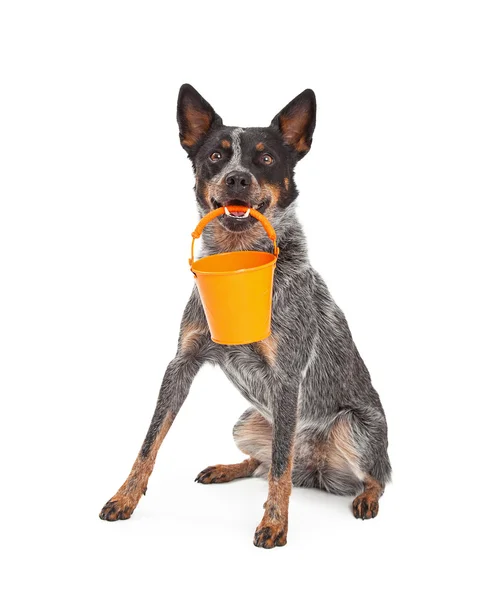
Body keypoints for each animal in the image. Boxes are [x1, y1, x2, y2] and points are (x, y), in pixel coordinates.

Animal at [99, 84, 392, 548]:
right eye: (216, 156)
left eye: (266, 159)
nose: (237, 177)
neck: (238, 260)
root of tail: (315, 471)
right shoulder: (181, 363)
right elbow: (149, 442)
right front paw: (124, 497)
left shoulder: (287, 377)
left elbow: (279, 471)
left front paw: (274, 524)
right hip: (247, 422)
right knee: (263, 462)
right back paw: (225, 468)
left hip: (352, 427)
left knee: (369, 475)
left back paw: (366, 498)